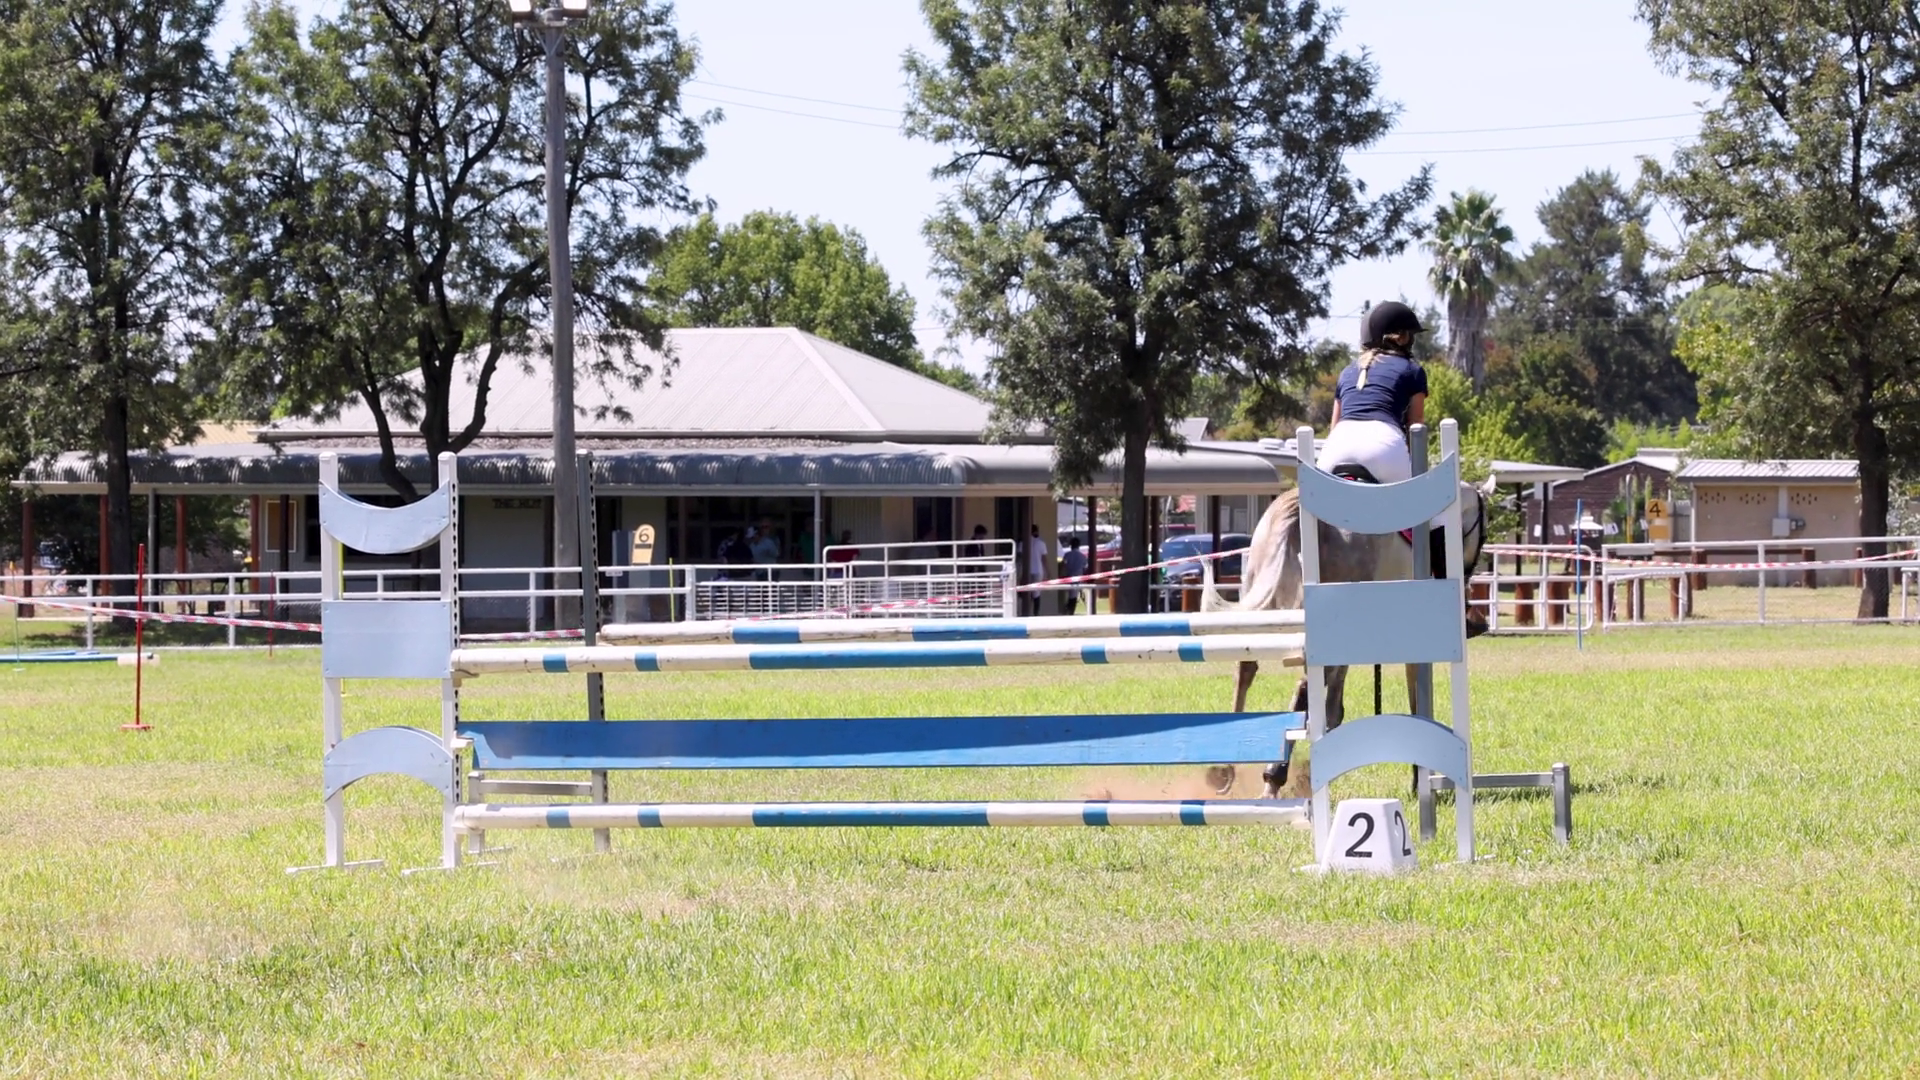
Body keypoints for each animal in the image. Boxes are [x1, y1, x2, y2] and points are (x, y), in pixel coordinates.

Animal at [1200, 473, 1486, 798]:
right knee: (1302, 687)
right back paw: (1273, 778)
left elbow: (1333, 709)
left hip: (1259, 589)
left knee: (1246, 670)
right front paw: (1418, 780)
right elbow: (1413, 701)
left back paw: (1227, 769)